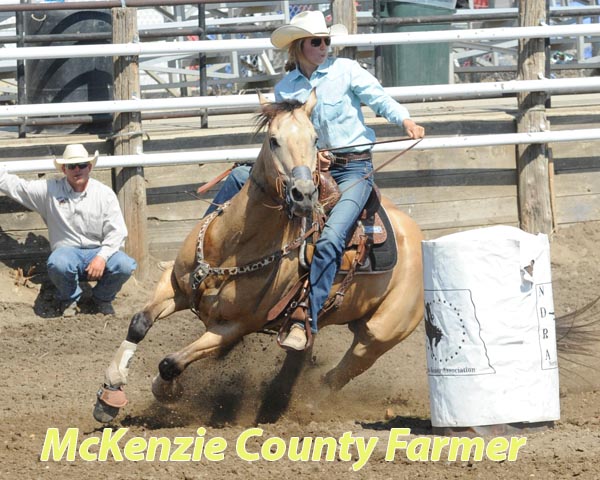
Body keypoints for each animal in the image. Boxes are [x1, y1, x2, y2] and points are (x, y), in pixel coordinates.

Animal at [94, 92, 424, 422]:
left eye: (315, 138)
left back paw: (299, 405)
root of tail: (418, 236)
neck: (231, 247)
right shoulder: (174, 285)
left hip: (379, 335)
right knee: (301, 351)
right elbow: (139, 322)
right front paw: (110, 392)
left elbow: (171, 362)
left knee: (340, 372)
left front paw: (165, 391)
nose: (304, 194)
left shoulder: (234, 326)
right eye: (274, 140)